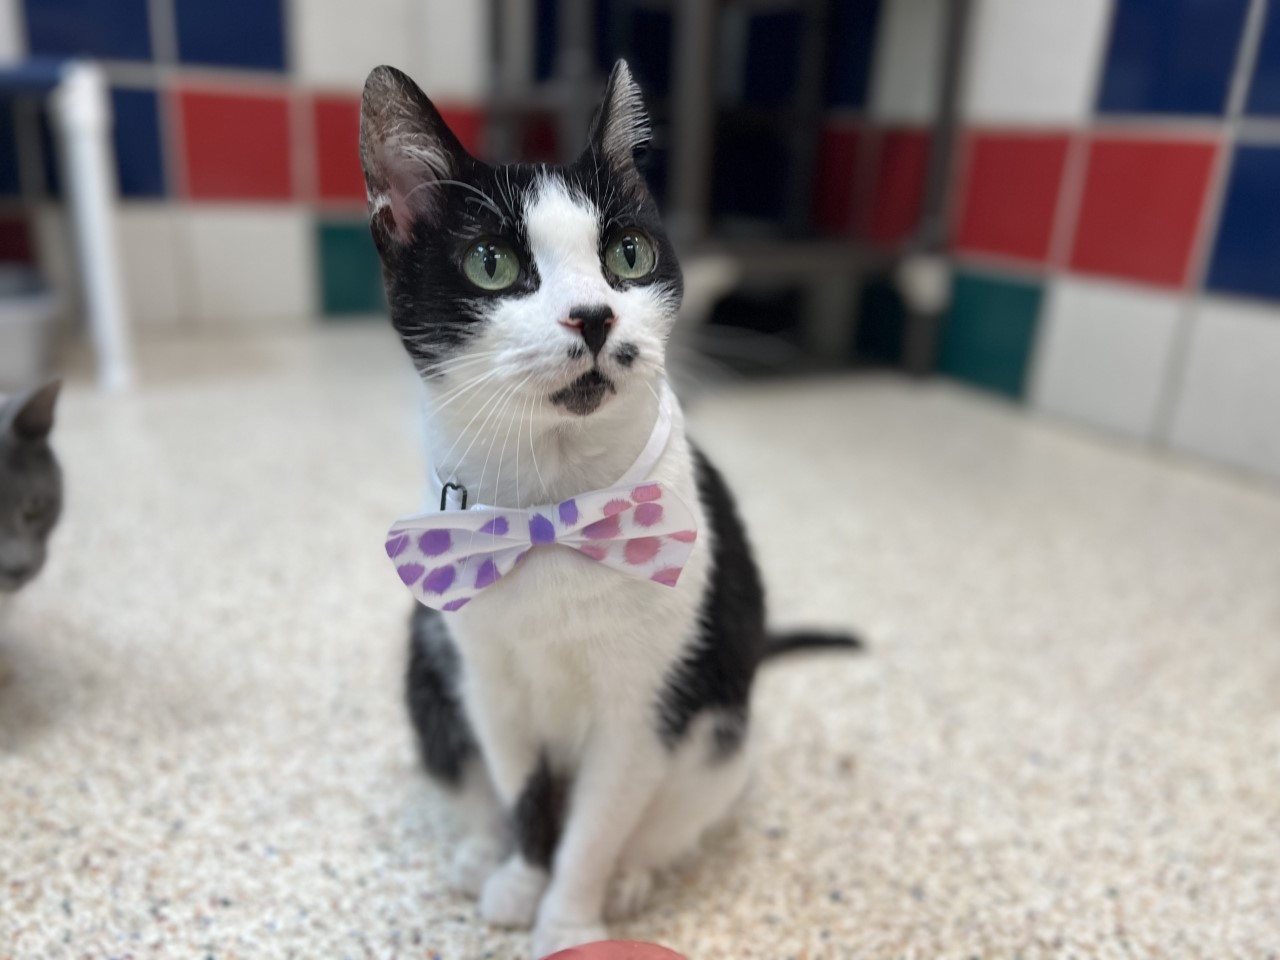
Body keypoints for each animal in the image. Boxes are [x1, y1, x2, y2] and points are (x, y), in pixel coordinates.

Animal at [360, 64, 860, 957]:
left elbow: (596, 825)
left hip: (722, 732)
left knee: (674, 809)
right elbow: (523, 792)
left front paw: (570, 917)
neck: (552, 508)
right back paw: (479, 853)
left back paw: (632, 876)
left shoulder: (646, 707)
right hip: (430, 673)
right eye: (491, 263)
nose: (593, 315)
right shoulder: (490, 683)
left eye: (629, 254)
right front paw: (522, 878)